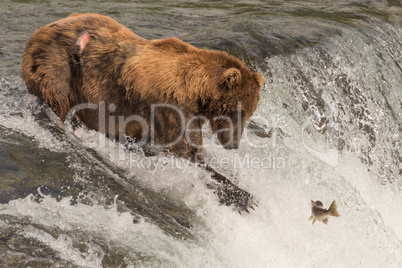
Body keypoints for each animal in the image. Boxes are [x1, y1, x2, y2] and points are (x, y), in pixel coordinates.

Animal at [23, 14, 266, 211]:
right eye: (239, 111)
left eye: (248, 113)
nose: (233, 143)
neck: (195, 91)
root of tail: (37, 32)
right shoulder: (169, 108)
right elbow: (185, 152)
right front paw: (243, 198)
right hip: (58, 71)